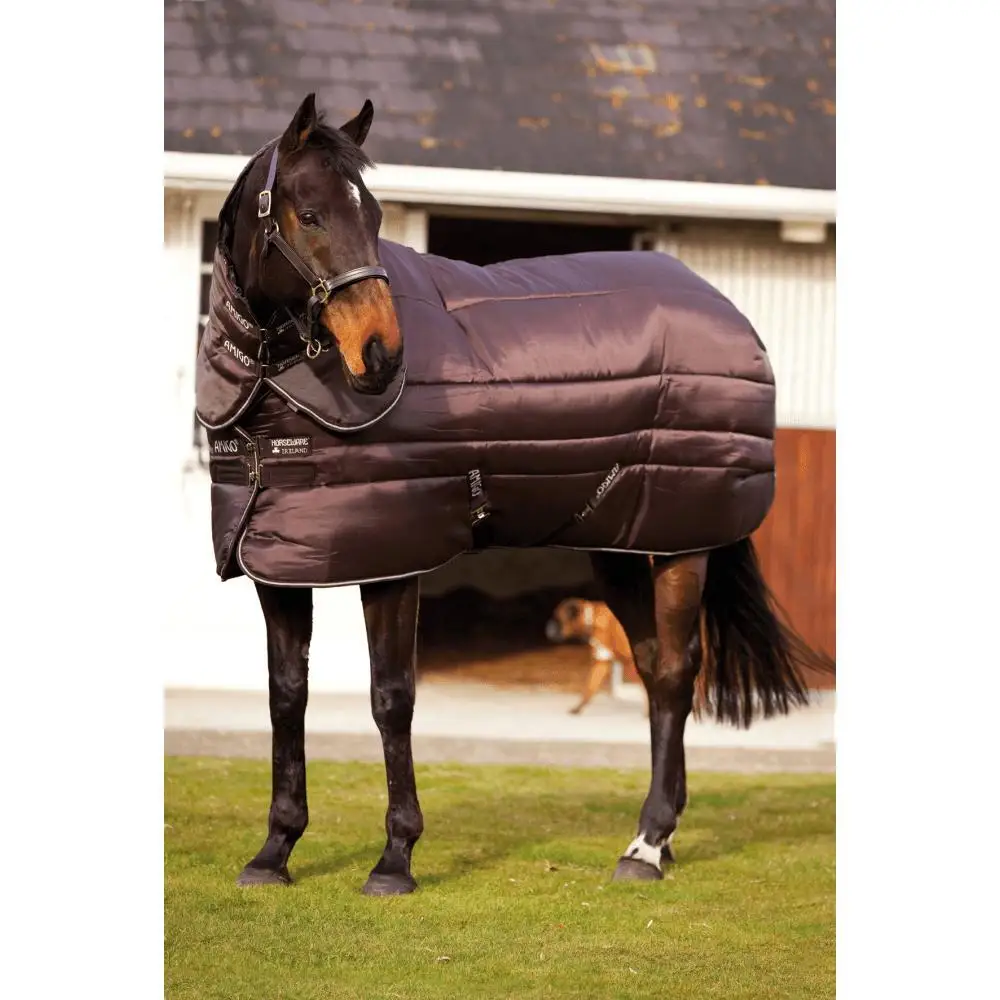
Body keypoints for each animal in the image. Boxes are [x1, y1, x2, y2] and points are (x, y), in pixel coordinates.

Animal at [193, 93, 832, 895]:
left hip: (685, 544)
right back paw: (655, 841)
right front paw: (274, 852)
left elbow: (391, 697)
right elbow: (287, 697)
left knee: (679, 672)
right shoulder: (277, 567)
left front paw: (395, 859)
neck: (277, 402)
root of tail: (729, 311)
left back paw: (648, 843)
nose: (381, 355)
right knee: (654, 670)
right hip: (617, 544)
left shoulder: (395, 558)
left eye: (374, 214)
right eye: (309, 214)